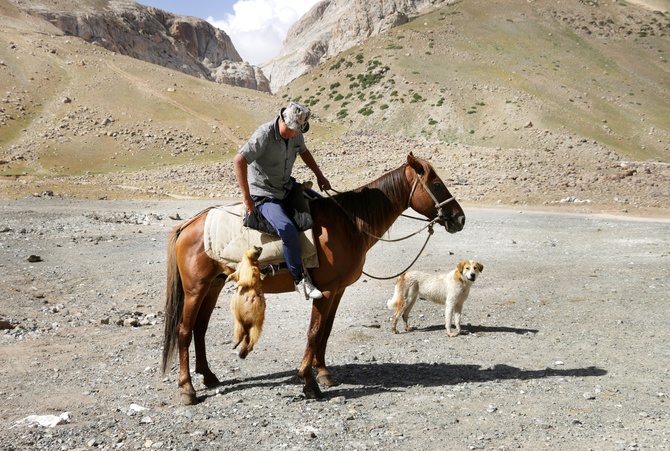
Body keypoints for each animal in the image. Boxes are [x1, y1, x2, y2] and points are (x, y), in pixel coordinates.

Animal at [163, 153, 468, 406]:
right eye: (437, 184)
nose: (460, 218)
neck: (348, 224)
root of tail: (187, 225)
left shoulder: (338, 290)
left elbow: (326, 331)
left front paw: (323, 374)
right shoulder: (324, 290)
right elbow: (313, 331)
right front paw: (309, 383)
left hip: (213, 286)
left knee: (200, 329)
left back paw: (209, 376)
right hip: (196, 288)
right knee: (184, 330)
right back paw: (188, 389)